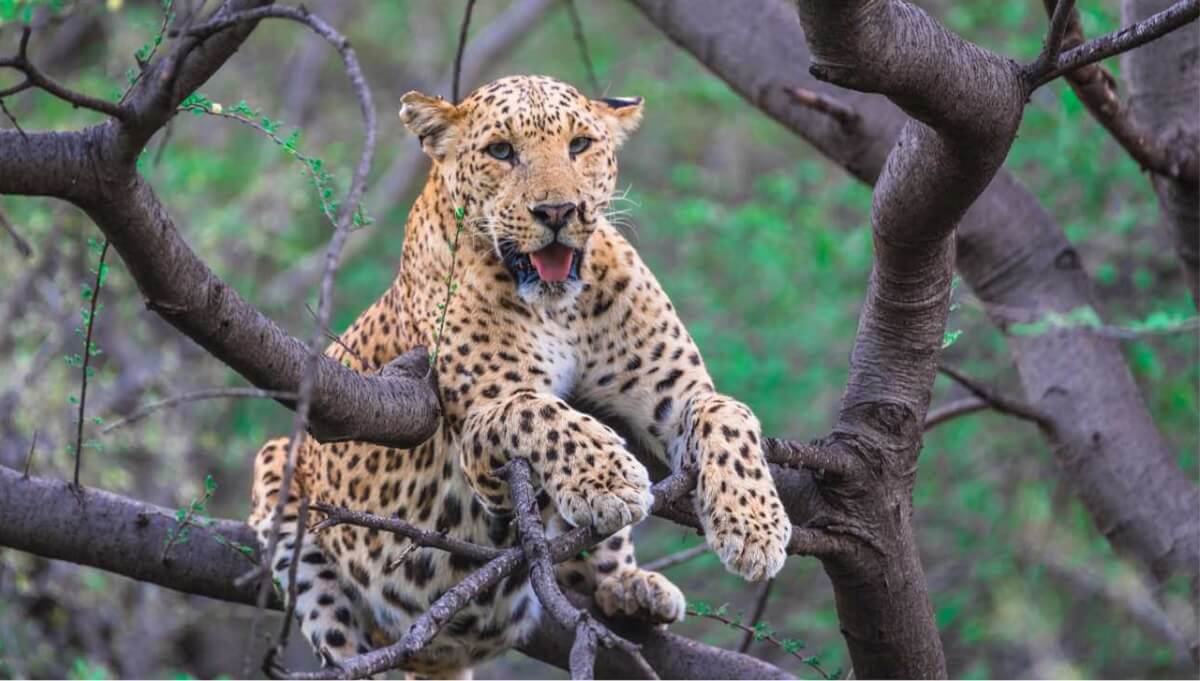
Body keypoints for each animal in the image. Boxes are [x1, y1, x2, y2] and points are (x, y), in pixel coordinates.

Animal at [247, 75, 792, 678]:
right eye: (501, 151)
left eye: (580, 145)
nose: (557, 211)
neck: (562, 310)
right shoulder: (482, 434)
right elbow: (541, 411)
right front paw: (611, 478)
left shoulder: (678, 396)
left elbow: (729, 413)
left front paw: (755, 528)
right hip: (283, 470)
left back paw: (632, 589)